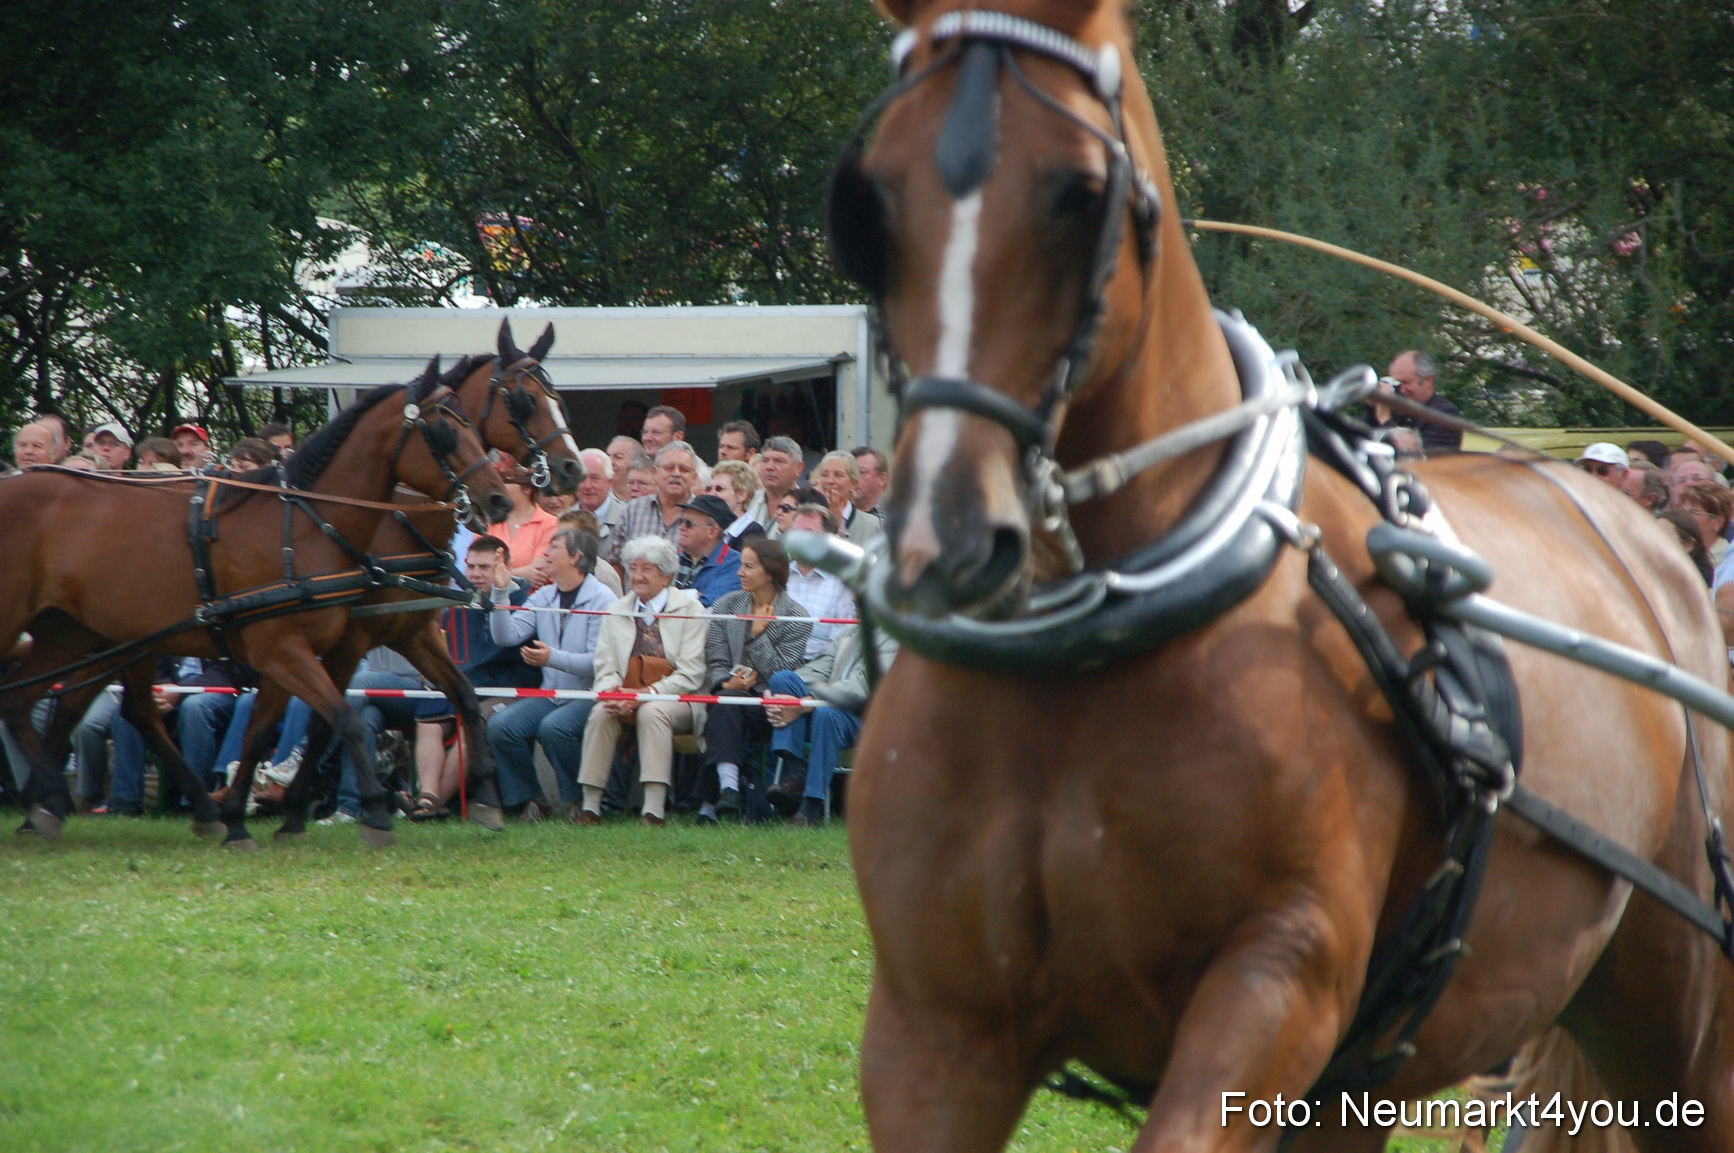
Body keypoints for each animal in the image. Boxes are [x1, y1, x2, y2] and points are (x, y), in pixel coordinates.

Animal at [0, 360, 512, 849]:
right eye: (446, 432)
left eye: (475, 426)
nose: (499, 498)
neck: (304, 525)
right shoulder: (285, 647)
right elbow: (341, 719)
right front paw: (373, 813)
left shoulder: (328, 645)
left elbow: (265, 730)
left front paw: (241, 821)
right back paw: (50, 802)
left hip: (85, 633)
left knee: (54, 703)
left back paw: (57, 804)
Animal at [829, 2, 1734, 1150]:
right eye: (869, 198)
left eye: (1079, 191)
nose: (945, 538)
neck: (1084, 662)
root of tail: (1645, 542)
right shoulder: (933, 1033)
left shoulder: (1278, 982)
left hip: (1678, 1009)